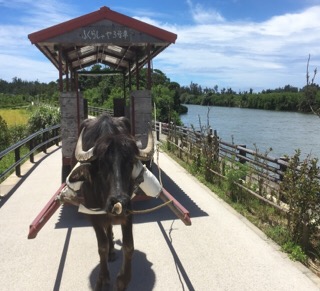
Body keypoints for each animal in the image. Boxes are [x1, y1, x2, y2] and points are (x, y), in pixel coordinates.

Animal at [68, 113, 154, 290]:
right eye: (102, 164)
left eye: (130, 162)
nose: (118, 201)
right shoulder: (92, 214)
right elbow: (102, 246)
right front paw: (103, 278)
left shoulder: (128, 212)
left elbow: (129, 246)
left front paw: (122, 279)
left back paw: (113, 251)